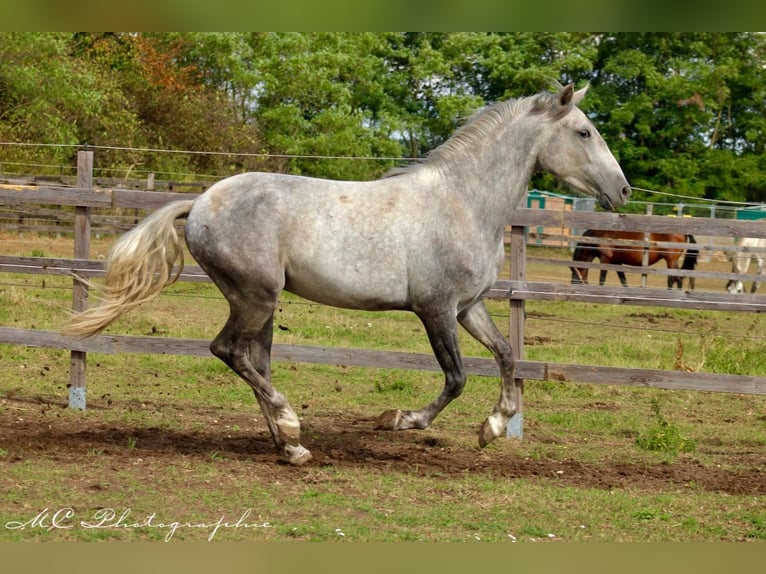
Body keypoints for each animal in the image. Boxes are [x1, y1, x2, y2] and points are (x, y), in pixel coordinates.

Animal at [64, 85, 632, 466]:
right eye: (584, 132)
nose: (623, 190)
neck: (463, 202)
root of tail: (200, 202)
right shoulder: (435, 309)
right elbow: (456, 378)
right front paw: (401, 420)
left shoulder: (468, 307)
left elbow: (508, 356)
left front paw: (492, 427)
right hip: (255, 296)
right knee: (228, 352)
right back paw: (290, 426)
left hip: (261, 302)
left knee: (253, 361)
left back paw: (291, 445)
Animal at [572, 232, 700, 290]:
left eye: (574, 273)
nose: (572, 284)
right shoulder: (616, 262)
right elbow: (623, 279)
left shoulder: (605, 259)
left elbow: (602, 277)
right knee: (674, 279)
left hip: (671, 260)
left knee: (675, 278)